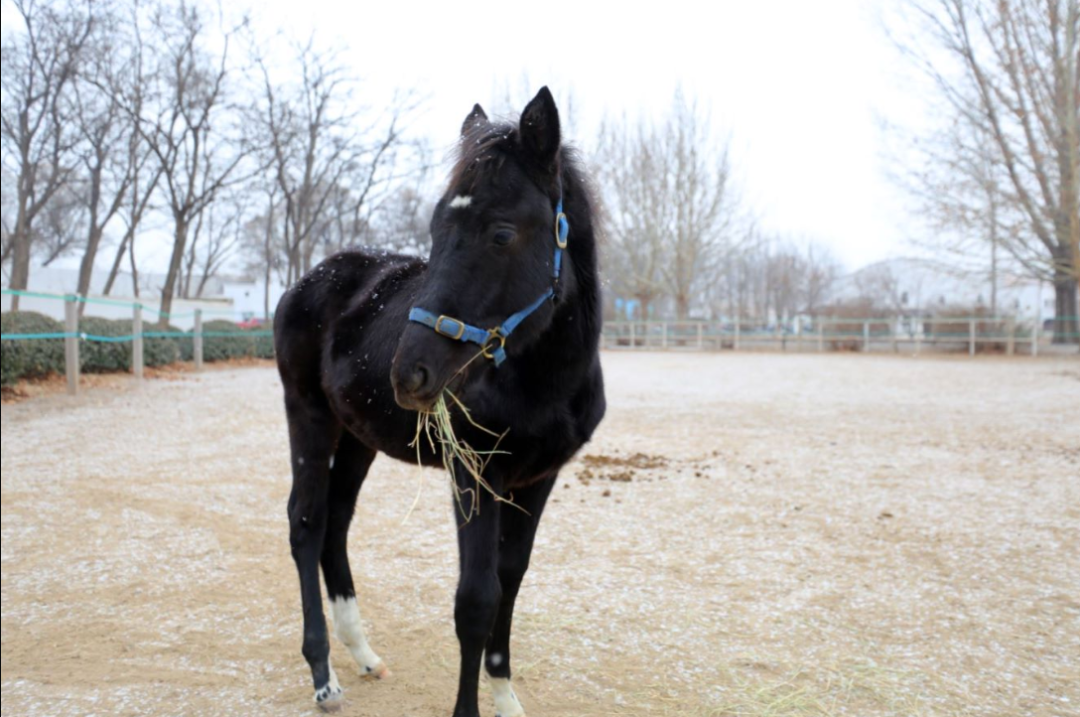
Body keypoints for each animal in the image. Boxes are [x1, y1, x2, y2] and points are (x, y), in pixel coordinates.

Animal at [273, 86, 606, 716]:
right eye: (433, 230)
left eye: (501, 233)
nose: (410, 373)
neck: (542, 382)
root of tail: (313, 277)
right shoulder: (472, 472)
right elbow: (475, 599)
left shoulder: (537, 478)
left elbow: (511, 578)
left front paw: (505, 697)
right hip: (308, 415)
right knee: (306, 523)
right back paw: (323, 675)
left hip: (358, 436)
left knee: (336, 523)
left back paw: (364, 654)